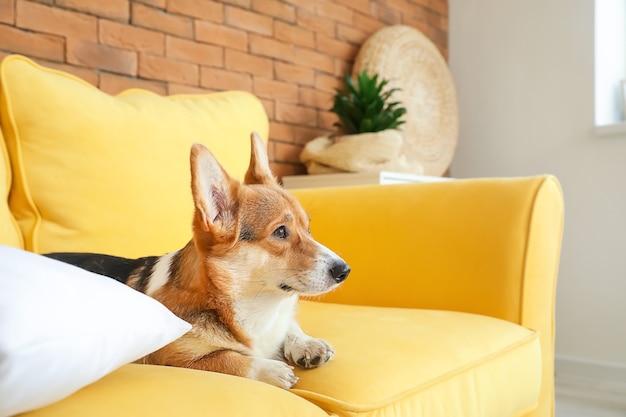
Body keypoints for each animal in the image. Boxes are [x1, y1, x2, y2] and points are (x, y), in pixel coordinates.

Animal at [46, 132, 348, 386]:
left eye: (308, 229)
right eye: (281, 232)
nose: (345, 270)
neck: (253, 306)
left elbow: (290, 325)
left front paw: (306, 343)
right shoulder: (173, 358)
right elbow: (227, 358)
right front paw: (271, 369)